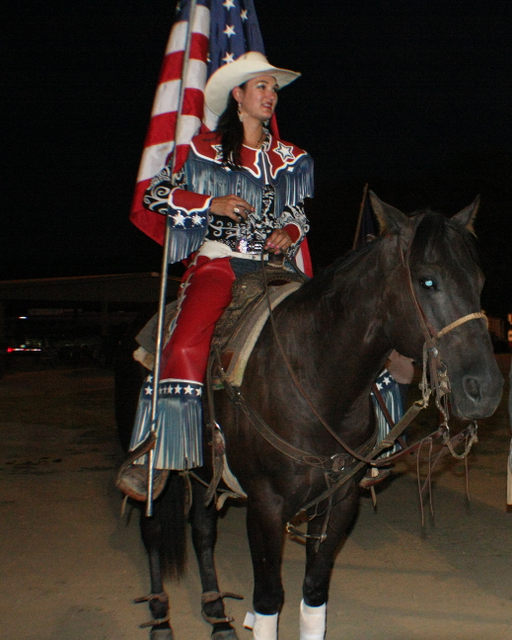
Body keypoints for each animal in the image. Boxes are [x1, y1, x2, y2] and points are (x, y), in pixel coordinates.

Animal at [115, 192, 503, 640]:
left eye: (479, 282)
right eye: (427, 281)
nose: (486, 388)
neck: (314, 380)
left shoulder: (339, 501)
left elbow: (314, 594)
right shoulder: (265, 506)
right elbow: (268, 599)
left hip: (202, 466)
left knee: (202, 530)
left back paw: (216, 612)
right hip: (154, 462)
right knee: (153, 529)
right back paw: (161, 615)